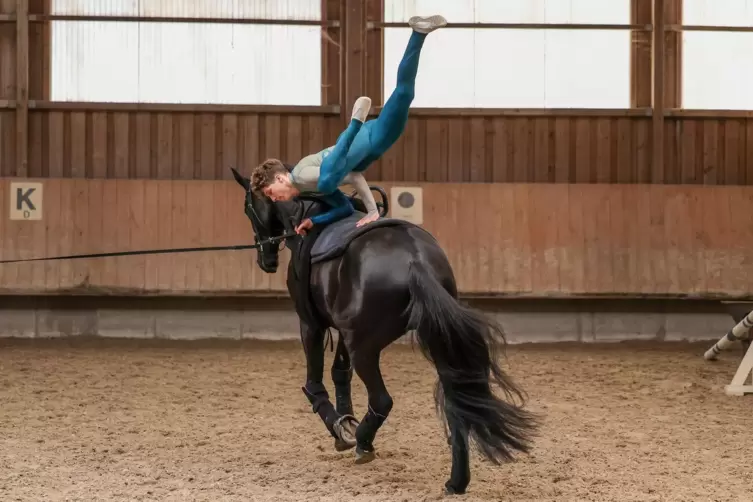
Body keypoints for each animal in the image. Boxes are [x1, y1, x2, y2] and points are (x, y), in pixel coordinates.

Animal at [231, 169, 540, 494]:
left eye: (247, 208)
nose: (266, 260)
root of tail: (415, 260)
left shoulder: (311, 323)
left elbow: (314, 383)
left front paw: (339, 428)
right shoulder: (343, 330)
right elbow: (340, 372)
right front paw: (346, 419)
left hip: (365, 348)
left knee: (382, 400)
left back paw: (363, 443)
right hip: (439, 343)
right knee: (457, 406)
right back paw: (456, 481)